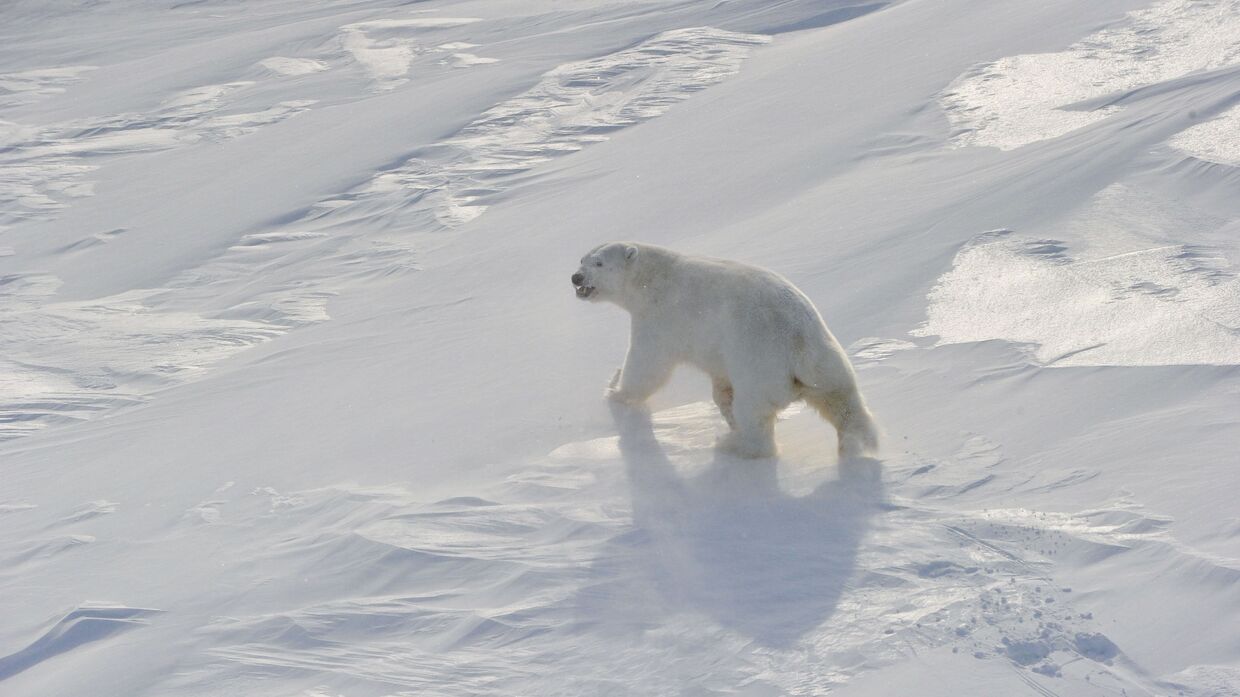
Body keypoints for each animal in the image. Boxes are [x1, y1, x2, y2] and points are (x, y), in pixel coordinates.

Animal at [572, 241, 882, 458]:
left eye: (599, 263)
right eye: (582, 258)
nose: (576, 278)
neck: (652, 276)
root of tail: (797, 341)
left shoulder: (661, 318)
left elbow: (647, 365)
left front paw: (615, 389)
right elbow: (720, 383)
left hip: (758, 365)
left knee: (754, 414)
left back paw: (735, 445)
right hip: (827, 361)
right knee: (844, 404)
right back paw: (857, 444)